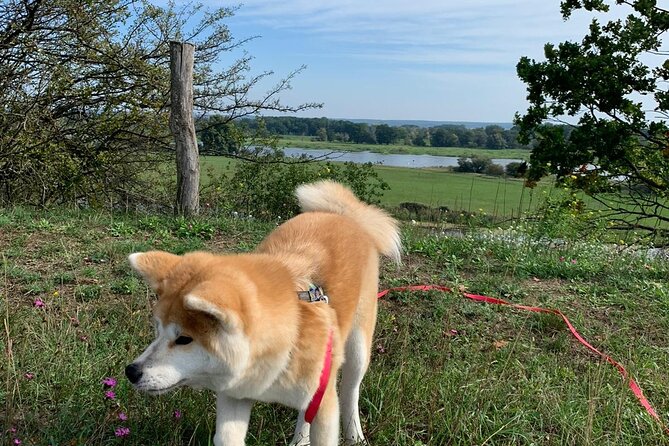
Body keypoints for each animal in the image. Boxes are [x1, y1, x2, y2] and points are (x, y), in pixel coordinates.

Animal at [125, 181, 400, 446]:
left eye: (184, 339)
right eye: (158, 330)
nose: (131, 371)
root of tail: (344, 216)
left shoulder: (324, 403)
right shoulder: (235, 393)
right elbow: (226, 438)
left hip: (357, 348)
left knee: (350, 392)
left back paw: (354, 436)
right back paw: (300, 440)